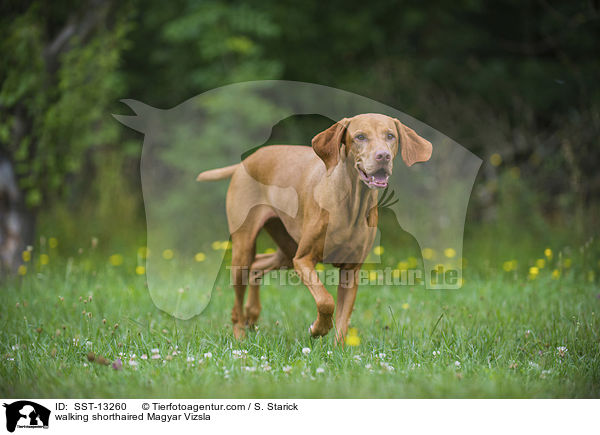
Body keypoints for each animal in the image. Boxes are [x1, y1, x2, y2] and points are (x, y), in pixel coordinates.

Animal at [197, 115, 432, 344]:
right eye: (360, 137)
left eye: (390, 136)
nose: (383, 156)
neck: (351, 204)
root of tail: (244, 163)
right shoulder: (303, 260)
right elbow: (326, 301)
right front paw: (318, 329)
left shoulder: (351, 270)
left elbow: (343, 321)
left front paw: (338, 351)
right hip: (245, 248)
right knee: (238, 298)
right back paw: (240, 336)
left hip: (286, 250)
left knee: (257, 266)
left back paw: (252, 314)